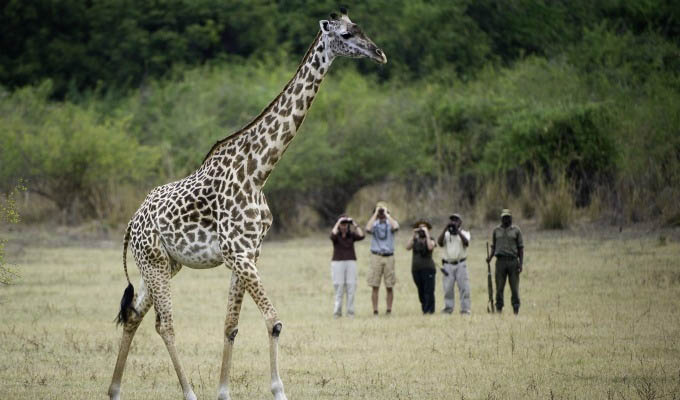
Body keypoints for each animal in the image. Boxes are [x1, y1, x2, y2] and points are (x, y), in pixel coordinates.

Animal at [105, 7, 382, 400]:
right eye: (345, 34)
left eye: (360, 28)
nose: (379, 53)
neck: (259, 170)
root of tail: (131, 222)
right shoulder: (237, 252)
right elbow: (274, 321)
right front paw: (279, 390)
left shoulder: (249, 252)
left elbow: (231, 325)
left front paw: (224, 391)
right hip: (155, 263)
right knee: (165, 324)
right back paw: (188, 393)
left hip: (163, 264)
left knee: (133, 315)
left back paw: (114, 390)